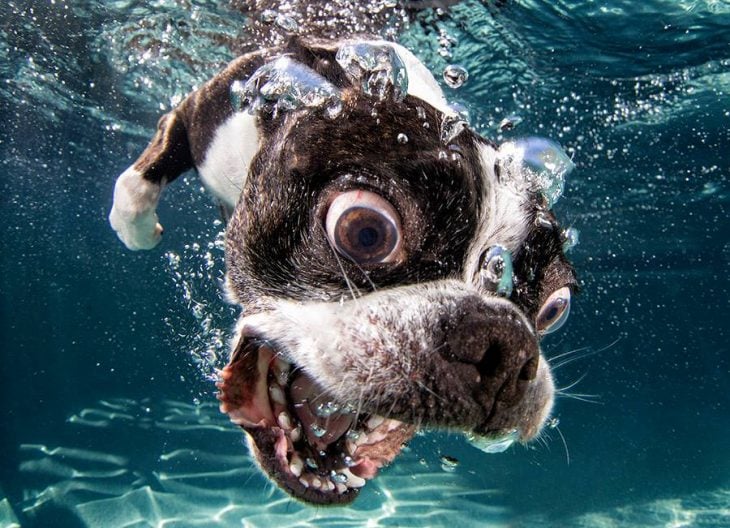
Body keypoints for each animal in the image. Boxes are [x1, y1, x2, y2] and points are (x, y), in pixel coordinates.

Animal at [108, 5, 576, 508]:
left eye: (555, 308)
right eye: (365, 233)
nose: (503, 342)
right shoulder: (204, 109)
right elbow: (137, 180)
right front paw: (139, 227)